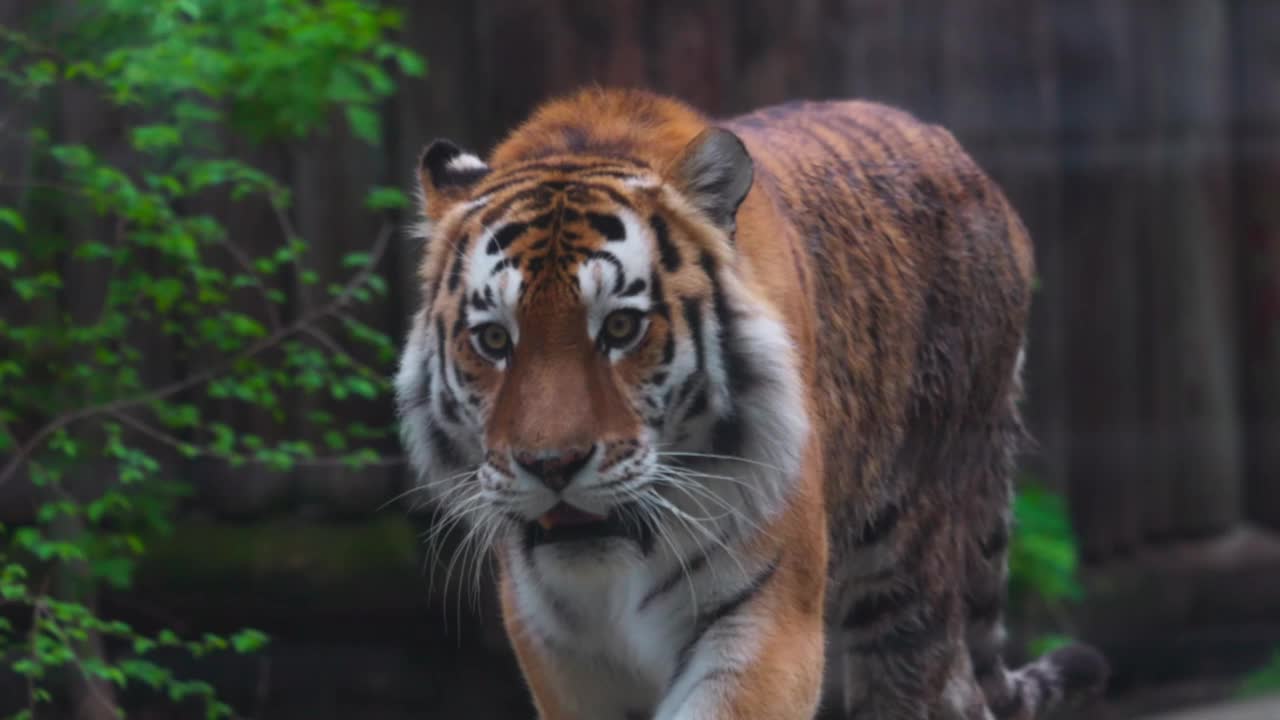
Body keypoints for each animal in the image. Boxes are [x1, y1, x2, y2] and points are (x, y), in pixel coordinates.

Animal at [394, 89, 1105, 717]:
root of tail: (975, 171)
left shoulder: (765, 617)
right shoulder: (555, 643)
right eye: (494, 339)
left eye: (621, 327)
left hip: (909, 561)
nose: (552, 466)